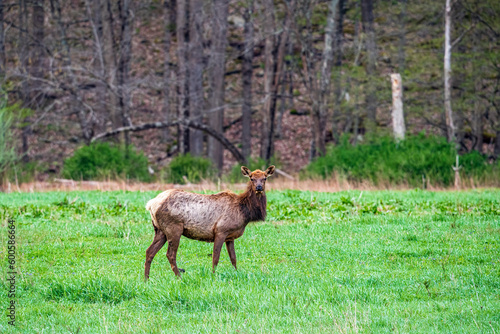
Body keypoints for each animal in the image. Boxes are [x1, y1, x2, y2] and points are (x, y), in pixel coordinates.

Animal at [145, 165, 276, 280]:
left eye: (265, 178)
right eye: (251, 178)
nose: (259, 187)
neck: (245, 212)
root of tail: (151, 204)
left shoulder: (230, 237)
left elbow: (233, 258)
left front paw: (236, 272)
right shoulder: (221, 230)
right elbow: (215, 257)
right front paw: (213, 275)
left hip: (160, 230)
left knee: (149, 251)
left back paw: (146, 279)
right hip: (173, 228)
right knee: (170, 254)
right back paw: (179, 277)